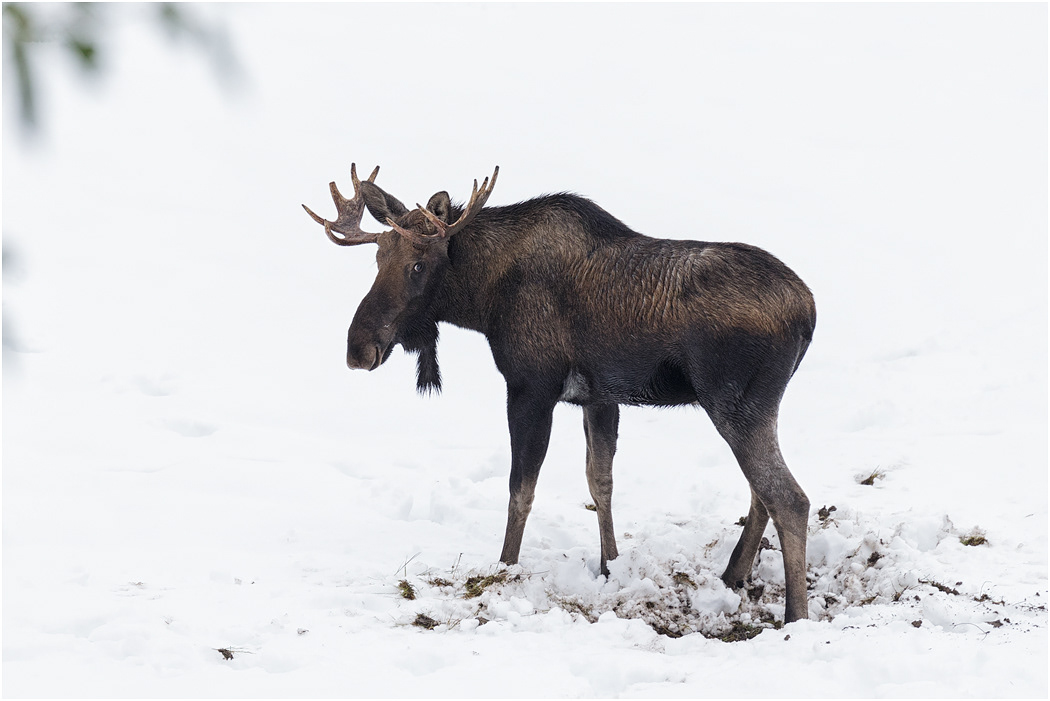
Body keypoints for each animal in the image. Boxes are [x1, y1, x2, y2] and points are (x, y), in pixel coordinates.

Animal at [303, 164, 817, 622]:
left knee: (789, 498)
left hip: (735, 403)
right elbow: (600, 481)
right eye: (377, 260)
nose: (358, 348)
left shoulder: (531, 387)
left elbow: (521, 489)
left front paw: (503, 571)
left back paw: (794, 617)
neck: (483, 300)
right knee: (761, 493)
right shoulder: (599, 397)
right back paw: (733, 576)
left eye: (418, 264)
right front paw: (610, 567)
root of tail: (809, 312)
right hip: (750, 406)